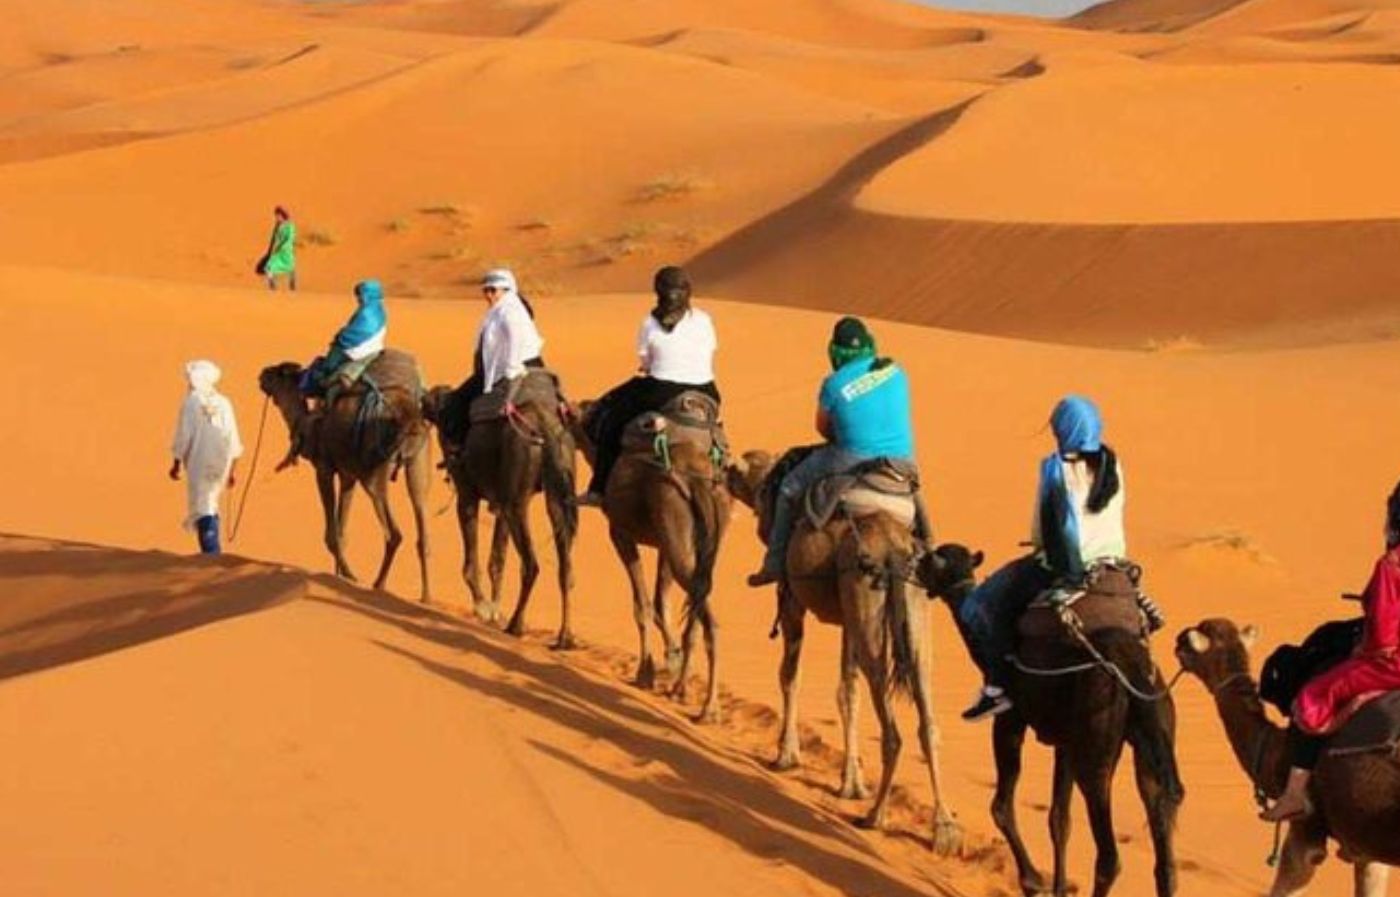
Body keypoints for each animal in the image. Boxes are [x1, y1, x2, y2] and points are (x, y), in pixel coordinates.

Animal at [259, 356, 432, 601]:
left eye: (277, 372)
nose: (262, 374)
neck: (305, 422)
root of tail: (412, 417)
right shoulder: (348, 476)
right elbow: (342, 531)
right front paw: (338, 575)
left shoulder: (323, 469)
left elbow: (331, 535)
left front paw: (349, 576)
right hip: (418, 465)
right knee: (422, 526)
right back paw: (425, 596)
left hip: (374, 474)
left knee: (394, 533)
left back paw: (379, 584)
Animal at [421, 379, 578, 647]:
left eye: (430, 401)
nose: (421, 401)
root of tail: (545, 427)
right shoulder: (501, 505)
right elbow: (497, 560)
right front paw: (495, 611)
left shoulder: (467, 494)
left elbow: (471, 561)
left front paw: (484, 608)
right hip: (556, 489)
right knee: (565, 567)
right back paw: (563, 637)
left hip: (517, 500)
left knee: (531, 564)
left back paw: (516, 626)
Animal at [569, 399, 729, 723]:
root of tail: (696, 480)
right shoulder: (666, 545)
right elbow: (661, 606)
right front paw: (673, 665)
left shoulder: (620, 533)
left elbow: (642, 605)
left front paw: (646, 673)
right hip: (702, 540)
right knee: (699, 606)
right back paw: (686, 691)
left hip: (673, 523)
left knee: (708, 620)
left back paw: (709, 708)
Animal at [727, 449, 963, 854]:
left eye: (742, 471)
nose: (725, 469)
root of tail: (894, 549)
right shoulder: (849, 620)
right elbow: (847, 692)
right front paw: (851, 782)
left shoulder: (791, 599)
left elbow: (790, 676)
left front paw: (786, 755)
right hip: (910, 613)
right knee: (926, 717)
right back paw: (944, 829)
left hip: (863, 595)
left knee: (892, 728)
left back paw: (875, 816)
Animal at [933, 545, 1183, 897]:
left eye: (930, 560)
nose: (911, 564)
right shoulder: (1066, 743)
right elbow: (1059, 820)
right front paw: (1058, 887)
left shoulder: (1010, 719)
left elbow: (1001, 807)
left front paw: (1033, 881)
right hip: (1154, 733)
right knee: (1164, 859)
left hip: (1095, 749)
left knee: (1109, 856)